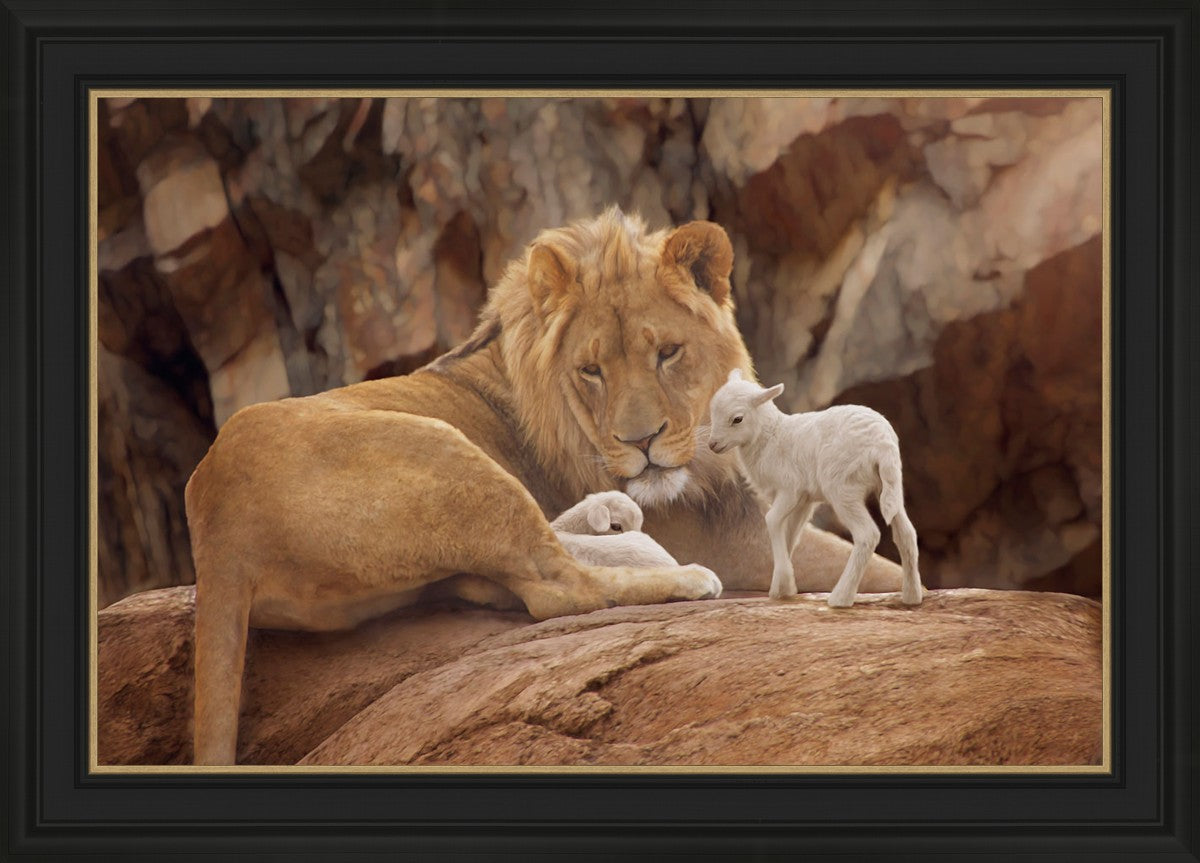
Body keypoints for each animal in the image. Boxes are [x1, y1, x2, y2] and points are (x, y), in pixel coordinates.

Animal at [707, 369, 922, 608]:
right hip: (890, 485)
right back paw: (912, 596)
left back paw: (840, 597)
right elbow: (790, 534)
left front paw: (784, 583)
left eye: (737, 419)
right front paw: (782, 587)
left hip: (842, 487)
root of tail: (883, 444)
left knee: (867, 534)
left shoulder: (790, 489)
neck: (771, 437)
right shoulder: (804, 500)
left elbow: (772, 520)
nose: (712, 445)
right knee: (906, 533)